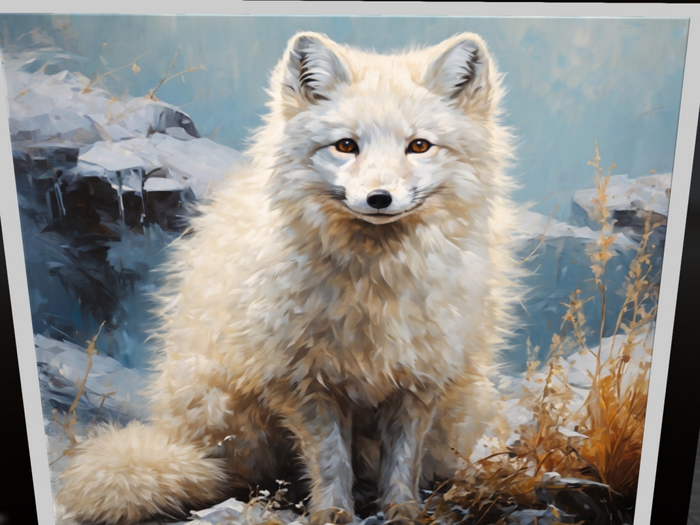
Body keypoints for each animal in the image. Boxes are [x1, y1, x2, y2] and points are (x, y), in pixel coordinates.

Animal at [55, 31, 519, 525]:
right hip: (230, 414)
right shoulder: (302, 382)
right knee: (232, 476)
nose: (379, 198)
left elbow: (403, 461)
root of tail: (179, 435)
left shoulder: (419, 381)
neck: (374, 285)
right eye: (346, 146)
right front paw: (332, 513)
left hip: (469, 403)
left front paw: (403, 511)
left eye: (419, 146)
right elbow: (331, 461)